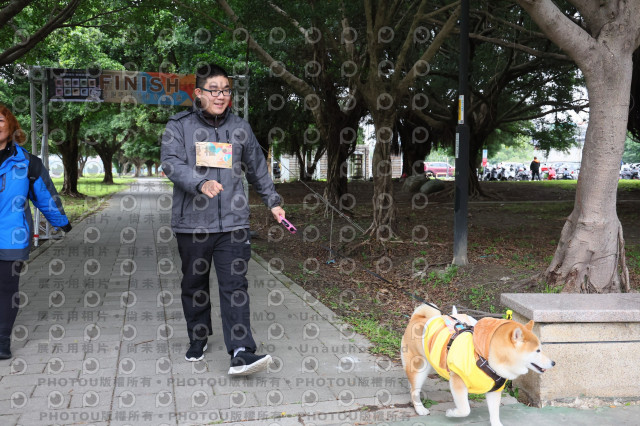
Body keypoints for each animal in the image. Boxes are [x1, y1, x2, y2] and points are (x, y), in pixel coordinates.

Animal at [401, 304, 555, 426]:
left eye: (541, 348)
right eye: (538, 350)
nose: (553, 362)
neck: (485, 357)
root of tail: (418, 317)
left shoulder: (494, 390)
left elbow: (494, 413)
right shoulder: (457, 381)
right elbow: (465, 409)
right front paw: (451, 412)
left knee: (412, 386)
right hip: (420, 368)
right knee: (414, 390)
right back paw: (420, 408)